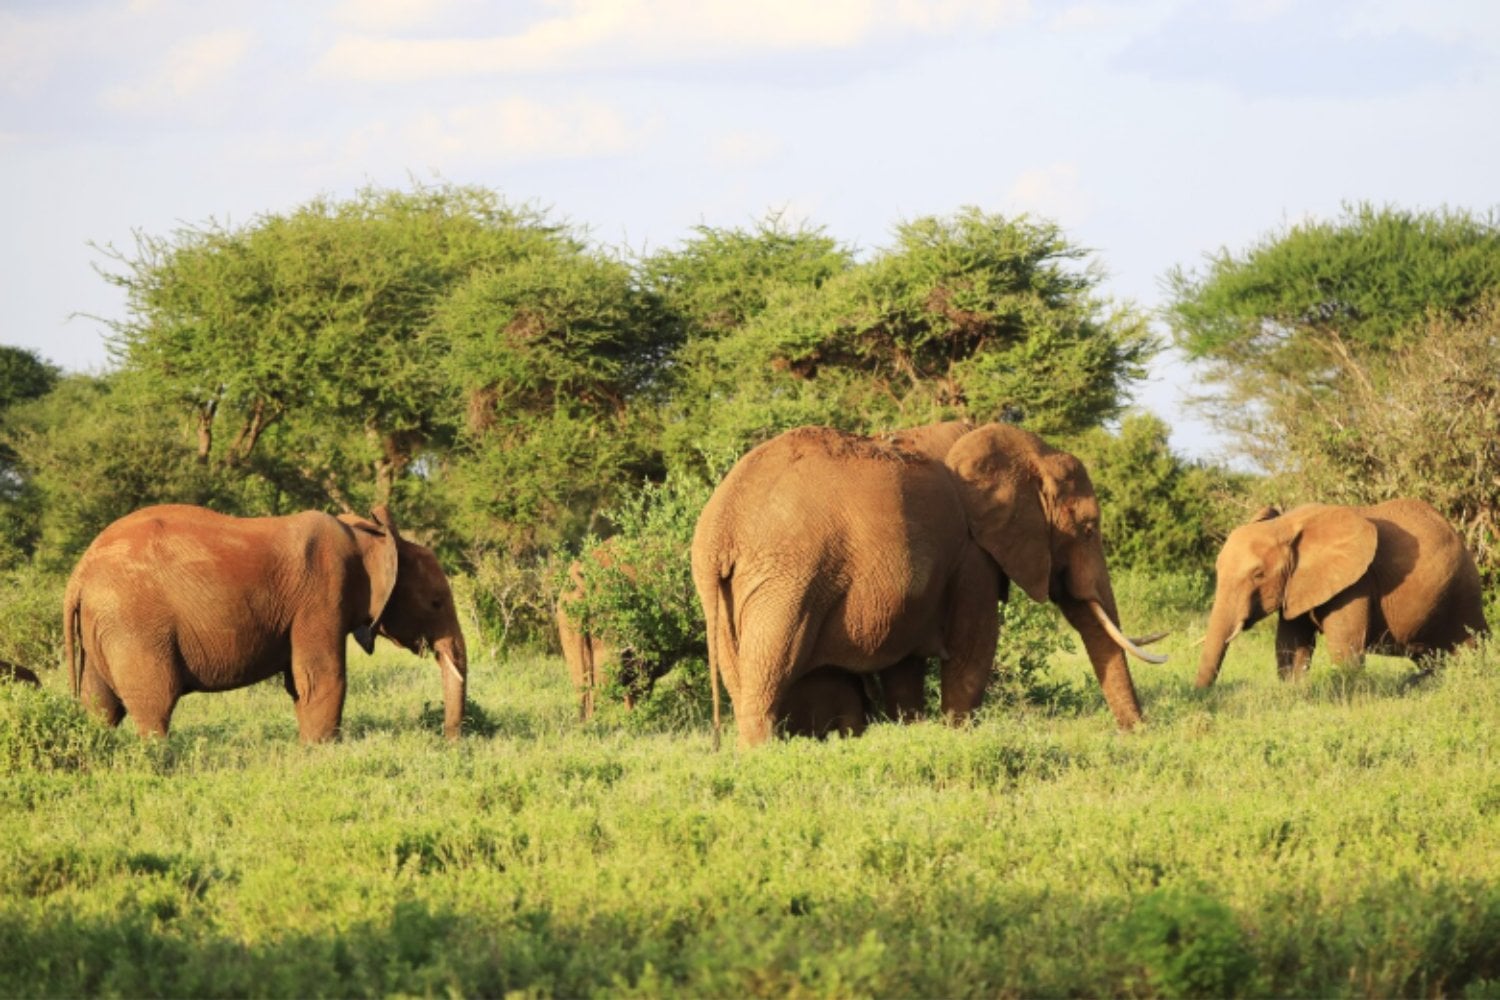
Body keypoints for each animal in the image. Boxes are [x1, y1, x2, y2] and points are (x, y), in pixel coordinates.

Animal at [64, 504, 468, 742]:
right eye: (435, 603)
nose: (448, 741)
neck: (369, 536)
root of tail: (78, 576)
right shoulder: (322, 593)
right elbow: (322, 678)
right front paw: (320, 753)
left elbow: (301, 684)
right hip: (135, 626)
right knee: (154, 705)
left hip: (106, 626)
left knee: (100, 706)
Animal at [691, 422, 1165, 748]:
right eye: (1087, 529)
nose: (1137, 734)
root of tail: (721, 526)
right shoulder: (972, 555)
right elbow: (974, 650)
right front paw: (958, 737)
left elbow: (905, 666)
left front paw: (914, 734)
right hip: (787, 578)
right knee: (769, 670)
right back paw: (762, 754)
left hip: (727, 594)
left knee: (742, 679)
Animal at [1196, 500, 1488, 686]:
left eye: (1258, 575)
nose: (1203, 696)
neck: (1287, 524)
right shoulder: (1297, 585)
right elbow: (1290, 647)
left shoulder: (1355, 584)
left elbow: (1344, 650)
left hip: (1463, 592)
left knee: (1471, 648)